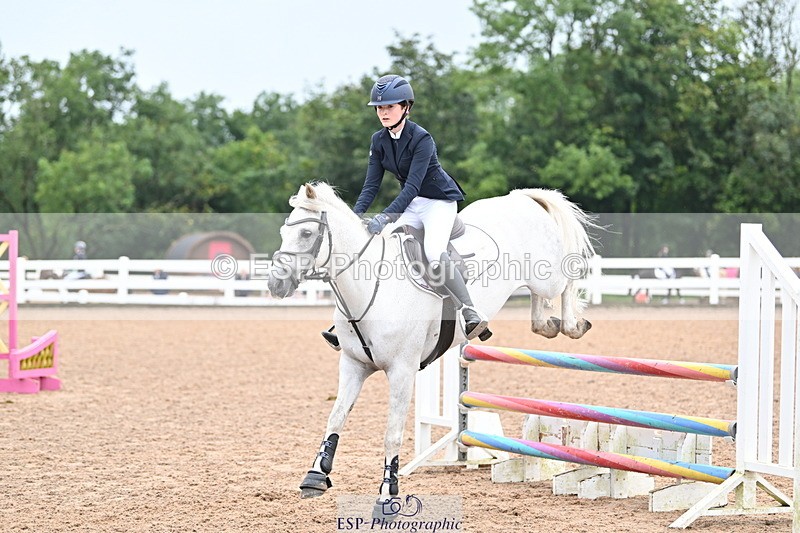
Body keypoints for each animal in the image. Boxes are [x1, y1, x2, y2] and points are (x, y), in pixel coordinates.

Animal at [267, 182, 596, 508]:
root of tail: (521, 198)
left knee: (568, 278)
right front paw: (315, 476)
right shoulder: (353, 365)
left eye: (306, 233)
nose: (275, 285)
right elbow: (335, 417)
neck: (372, 287)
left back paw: (573, 324)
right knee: (540, 306)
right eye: (283, 231)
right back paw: (546, 324)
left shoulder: (402, 371)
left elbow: (392, 434)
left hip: (547, 275)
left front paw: (387, 492)